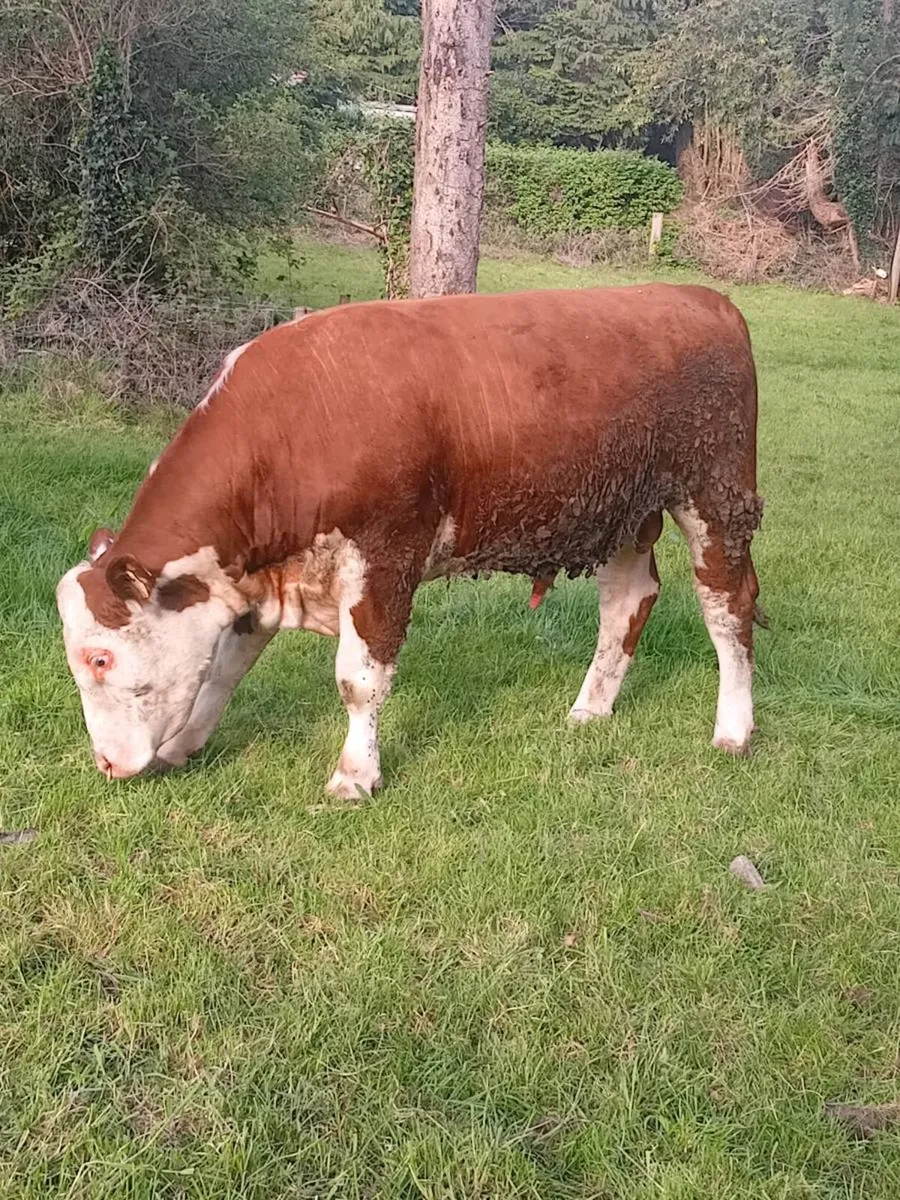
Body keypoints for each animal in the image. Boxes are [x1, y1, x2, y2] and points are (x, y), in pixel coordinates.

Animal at [56, 284, 763, 797]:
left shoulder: (386, 556)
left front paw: (354, 776)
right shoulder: (260, 576)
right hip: (623, 511)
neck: (293, 425)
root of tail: (703, 298)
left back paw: (734, 729)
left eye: (101, 658)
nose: (107, 764)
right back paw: (592, 708)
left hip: (716, 495)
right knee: (627, 601)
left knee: (727, 604)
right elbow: (224, 667)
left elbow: (359, 679)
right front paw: (184, 746)